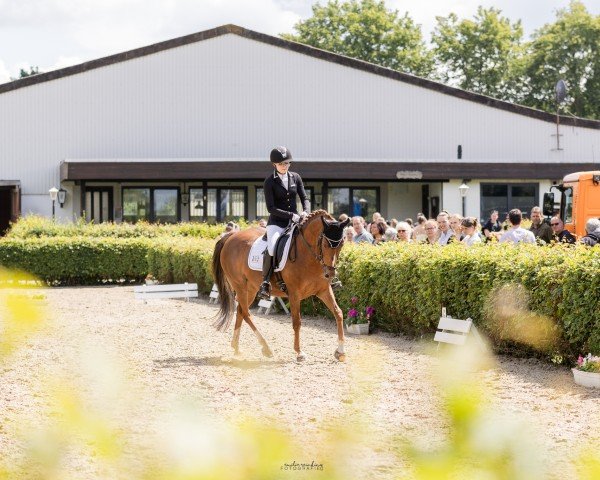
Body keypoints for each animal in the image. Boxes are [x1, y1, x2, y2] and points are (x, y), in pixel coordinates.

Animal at [212, 208, 350, 362]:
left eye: (342, 244)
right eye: (325, 244)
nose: (330, 273)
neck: (308, 255)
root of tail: (231, 236)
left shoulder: (324, 290)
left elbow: (338, 313)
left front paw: (340, 352)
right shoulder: (294, 294)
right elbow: (297, 321)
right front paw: (299, 352)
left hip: (251, 288)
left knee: (241, 311)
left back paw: (236, 347)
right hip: (240, 285)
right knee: (246, 313)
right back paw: (266, 348)